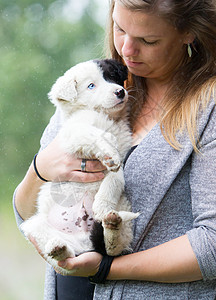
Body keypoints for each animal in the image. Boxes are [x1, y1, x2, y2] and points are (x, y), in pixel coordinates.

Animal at [21, 58, 139, 274]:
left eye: (112, 76)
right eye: (91, 86)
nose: (120, 92)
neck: (106, 118)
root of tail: (84, 243)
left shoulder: (124, 153)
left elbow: (115, 178)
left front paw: (102, 203)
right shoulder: (73, 134)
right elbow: (94, 135)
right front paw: (108, 150)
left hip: (124, 217)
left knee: (113, 248)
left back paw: (111, 224)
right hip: (35, 226)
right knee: (64, 262)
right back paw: (58, 248)